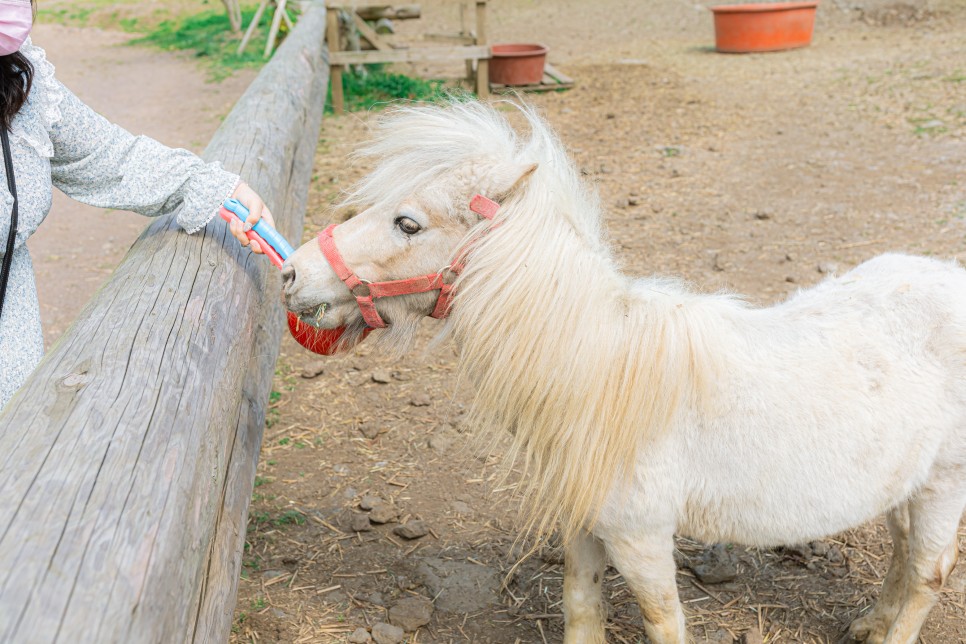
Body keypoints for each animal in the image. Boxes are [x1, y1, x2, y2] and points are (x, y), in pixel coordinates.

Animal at [280, 100, 966, 644]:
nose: (291, 273)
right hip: (904, 485)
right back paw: (867, 624)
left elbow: (663, 621)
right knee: (903, 556)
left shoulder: (642, 539)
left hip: (944, 485)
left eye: (408, 223)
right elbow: (581, 604)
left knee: (927, 576)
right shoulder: (583, 525)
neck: (600, 373)